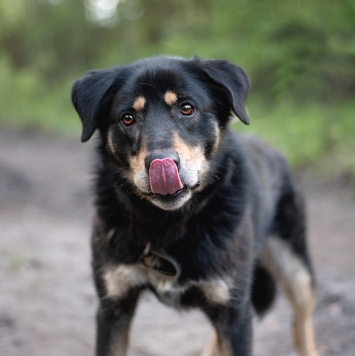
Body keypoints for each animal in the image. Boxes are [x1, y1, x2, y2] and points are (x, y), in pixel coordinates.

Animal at [71, 57, 318, 354]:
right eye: (127, 118)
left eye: (186, 108)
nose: (161, 163)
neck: (169, 224)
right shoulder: (113, 305)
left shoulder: (234, 312)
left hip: (296, 271)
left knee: (302, 326)